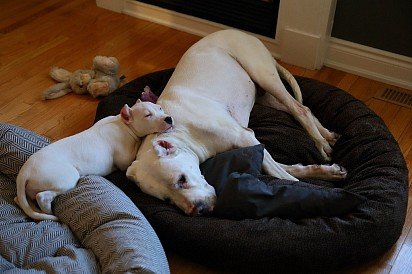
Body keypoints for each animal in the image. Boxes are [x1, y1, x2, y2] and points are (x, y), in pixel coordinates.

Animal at [15, 100, 173, 220]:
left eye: (159, 108)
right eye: (148, 115)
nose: (169, 118)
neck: (123, 123)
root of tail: (25, 172)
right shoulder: (124, 159)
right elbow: (133, 153)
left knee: (21, 200)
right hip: (66, 177)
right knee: (43, 196)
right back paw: (49, 211)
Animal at [127, 28, 346, 215]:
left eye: (181, 180)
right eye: (166, 199)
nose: (199, 210)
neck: (182, 130)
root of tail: (245, 34)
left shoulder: (245, 137)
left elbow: (282, 174)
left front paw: (320, 192)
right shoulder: (253, 146)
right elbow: (283, 167)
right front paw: (325, 172)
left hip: (264, 76)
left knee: (299, 109)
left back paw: (321, 143)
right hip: (265, 96)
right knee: (302, 108)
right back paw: (327, 135)